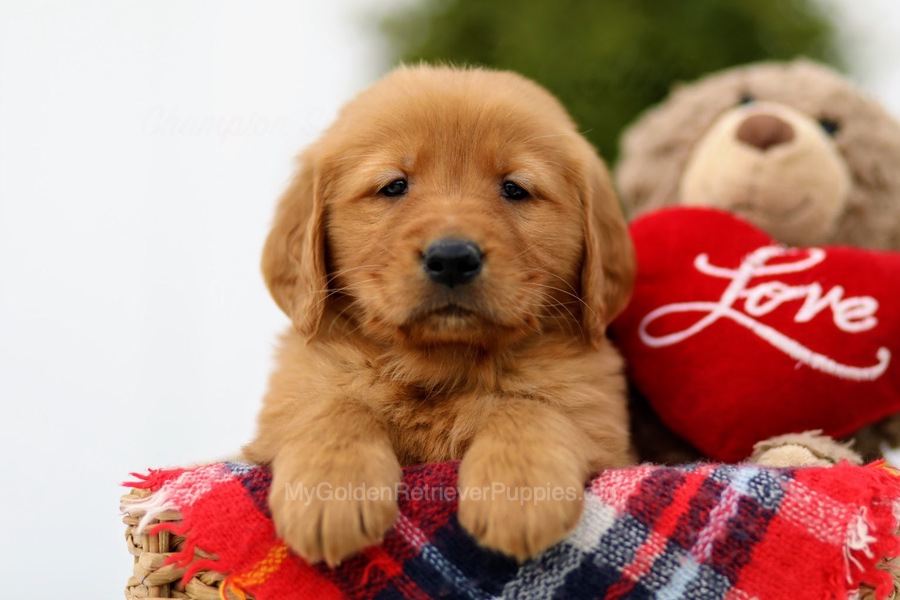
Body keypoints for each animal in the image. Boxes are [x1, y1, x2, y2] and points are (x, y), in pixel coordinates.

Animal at [243, 65, 636, 568]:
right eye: (394, 185)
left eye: (515, 188)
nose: (452, 258)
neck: (440, 366)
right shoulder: (281, 415)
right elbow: (336, 404)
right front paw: (329, 489)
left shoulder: (604, 430)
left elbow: (530, 407)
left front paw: (519, 492)